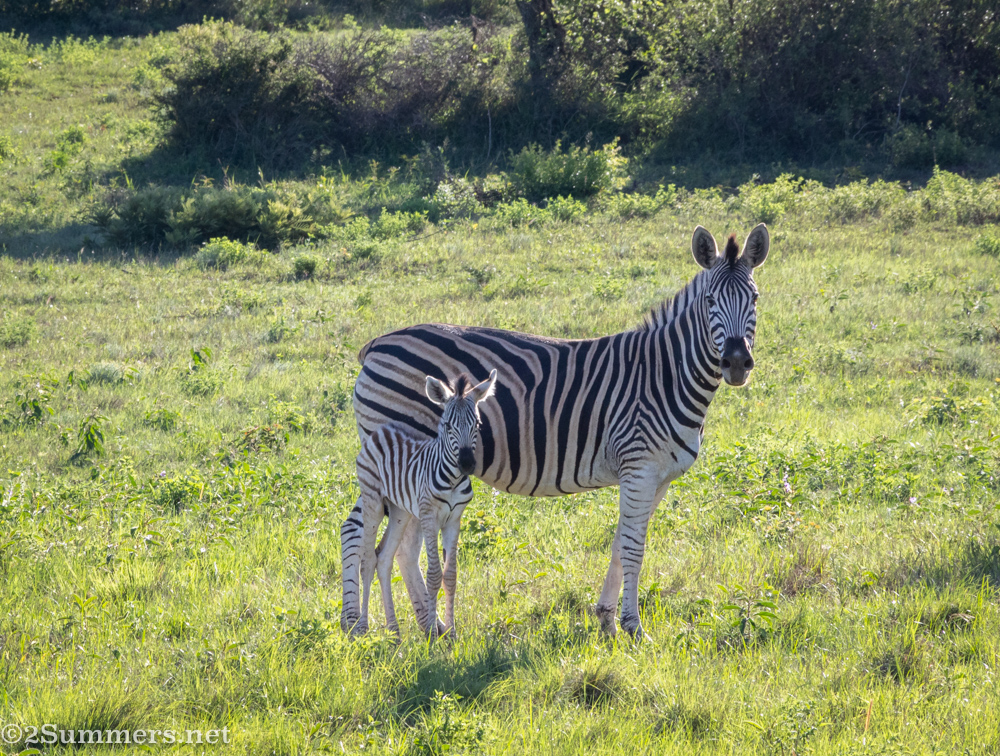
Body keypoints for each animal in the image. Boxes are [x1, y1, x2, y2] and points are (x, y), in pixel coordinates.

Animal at [341, 370, 498, 637]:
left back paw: (394, 633)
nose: (467, 463)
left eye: (477, 425)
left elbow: (450, 576)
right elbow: (434, 575)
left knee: (383, 558)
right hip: (373, 500)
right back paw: (362, 625)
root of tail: (382, 428)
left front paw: (452, 633)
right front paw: (434, 635)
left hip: (399, 510)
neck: (452, 480)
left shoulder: (454, 519)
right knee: (367, 560)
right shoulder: (428, 516)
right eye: (447, 426)